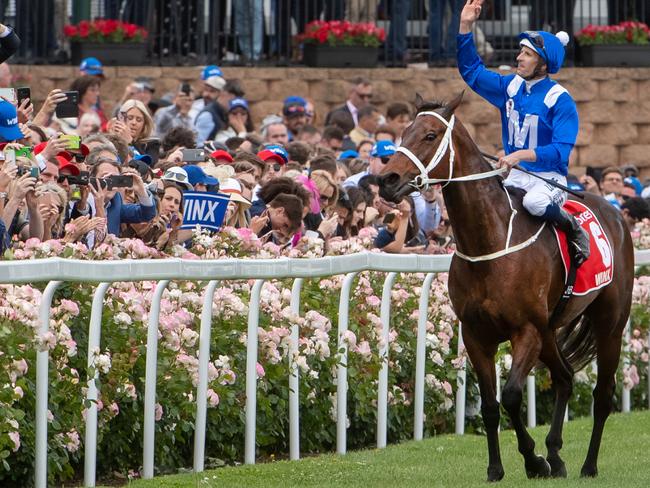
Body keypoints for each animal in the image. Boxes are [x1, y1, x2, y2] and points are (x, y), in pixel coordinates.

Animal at [378, 92, 632, 480]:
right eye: (404, 132)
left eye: (430, 135)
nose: (387, 180)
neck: (489, 242)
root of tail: (616, 213)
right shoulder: (475, 334)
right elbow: (489, 404)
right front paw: (498, 468)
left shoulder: (525, 330)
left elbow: (511, 395)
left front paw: (533, 460)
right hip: (549, 330)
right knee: (565, 377)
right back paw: (556, 454)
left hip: (609, 324)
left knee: (602, 394)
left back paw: (587, 465)